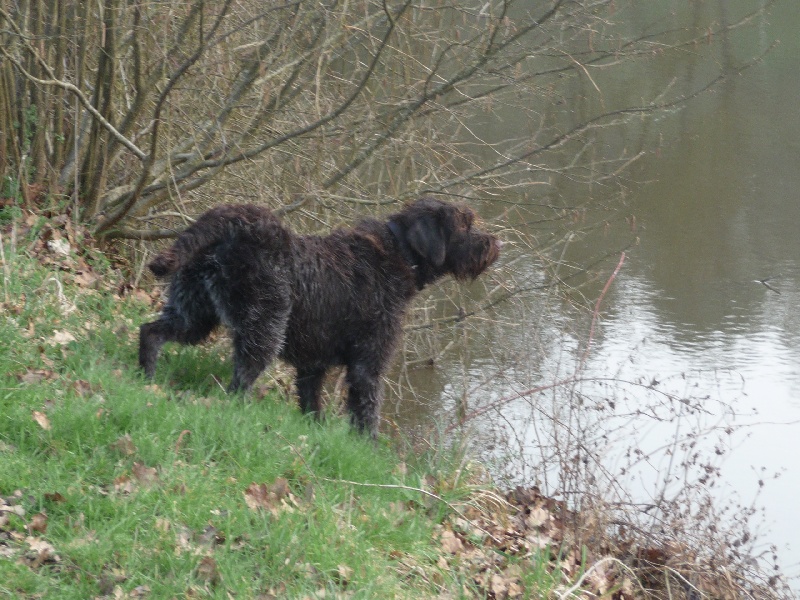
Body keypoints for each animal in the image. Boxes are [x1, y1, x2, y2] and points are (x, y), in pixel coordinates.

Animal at [138, 197, 500, 436]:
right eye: (466, 224)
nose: (495, 243)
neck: (398, 252)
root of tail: (232, 221)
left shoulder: (313, 365)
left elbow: (313, 408)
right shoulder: (368, 366)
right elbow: (366, 414)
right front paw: (370, 452)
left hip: (193, 314)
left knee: (150, 331)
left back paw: (146, 379)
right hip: (262, 331)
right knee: (237, 385)